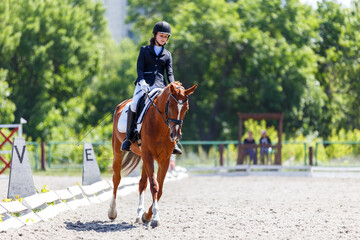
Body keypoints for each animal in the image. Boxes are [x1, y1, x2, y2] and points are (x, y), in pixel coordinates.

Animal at [108, 80, 198, 227]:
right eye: (170, 106)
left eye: (186, 108)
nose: (175, 135)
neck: (160, 124)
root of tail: (122, 105)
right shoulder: (149, 155)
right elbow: (154, 186)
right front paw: (155, 217)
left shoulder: (164, 159)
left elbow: (159, 188)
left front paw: (147, 215)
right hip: (118, 151)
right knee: (117, 179)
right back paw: (112, 212)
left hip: (143, 157)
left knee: (142, 183)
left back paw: (139, 214)